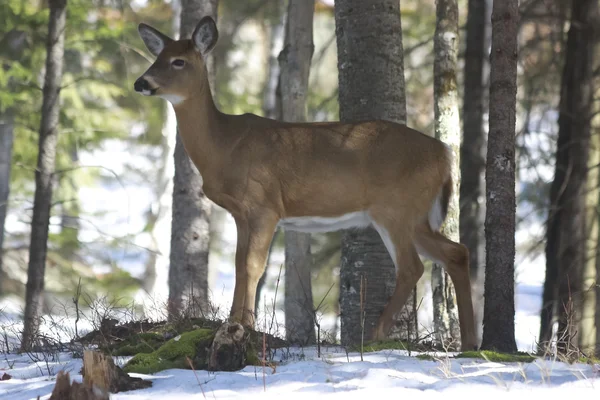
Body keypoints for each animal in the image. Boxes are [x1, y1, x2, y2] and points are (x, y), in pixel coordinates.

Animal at [134, 16, 476, 350]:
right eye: (157, 57)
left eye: (178, 61)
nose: (141, 83)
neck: (225, 145)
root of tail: (444, 153)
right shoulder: (241, 213)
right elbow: (238, 264)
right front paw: (232, 323)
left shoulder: (265, 204)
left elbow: (252, 266)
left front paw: (246, 326)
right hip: (415, 214)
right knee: (456, 252)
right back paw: (471, 341)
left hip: (395, 208)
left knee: (412, 267)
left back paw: (375, 336)